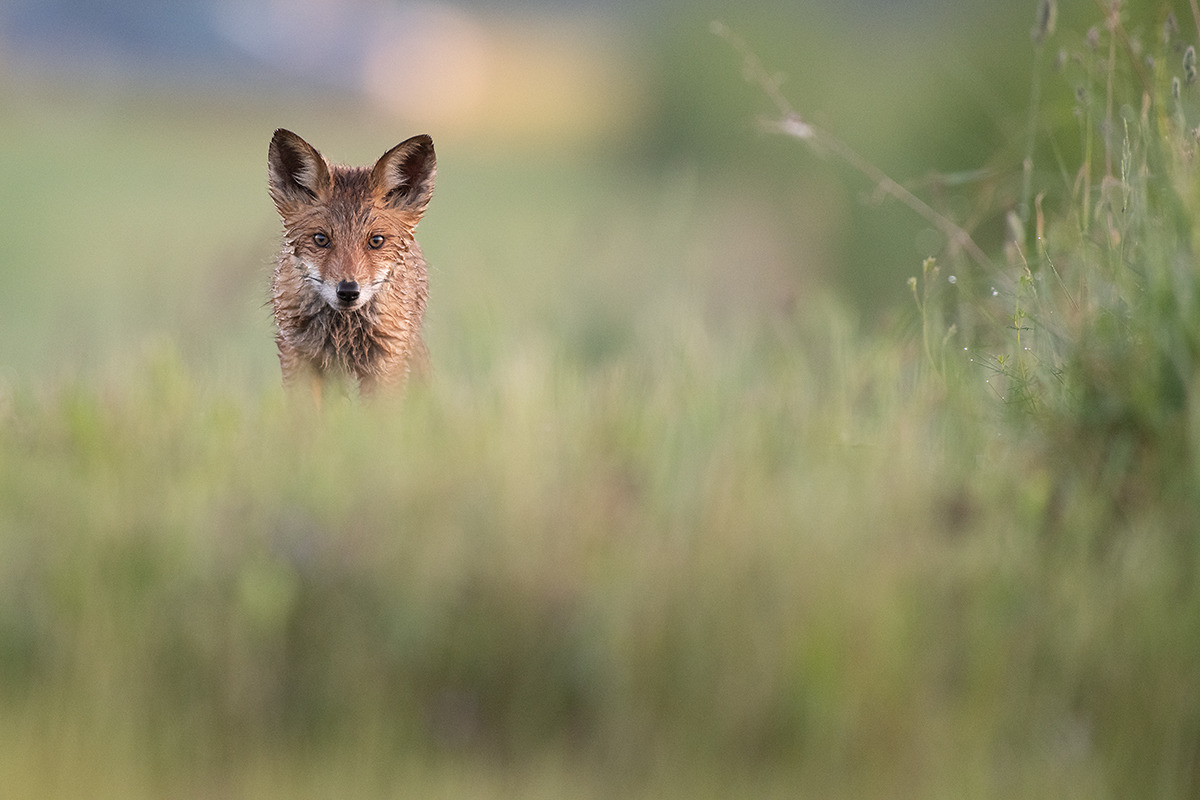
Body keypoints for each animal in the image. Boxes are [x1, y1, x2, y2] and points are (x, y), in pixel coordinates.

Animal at [267, 128, 436, 402]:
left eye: (376, 241)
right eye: (321, 239)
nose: (348, 291)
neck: (342, 330)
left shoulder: (386, 359)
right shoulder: (297, 354)